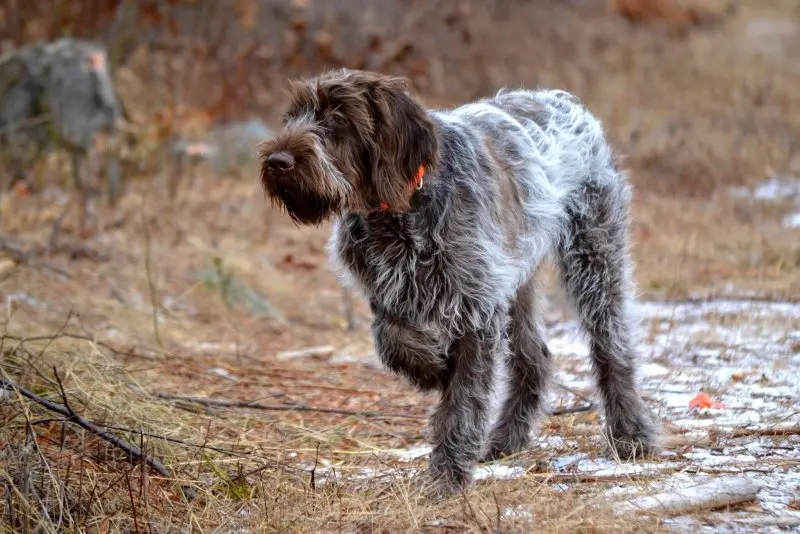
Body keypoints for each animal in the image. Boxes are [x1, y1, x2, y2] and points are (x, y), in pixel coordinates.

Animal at [260, 69, 660, 496]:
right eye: (292, 116)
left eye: (337, 117)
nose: (277, 161)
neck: (399, 209)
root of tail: (563, 99)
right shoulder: (390, 289)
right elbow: (392, 338)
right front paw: (433, 369)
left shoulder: (477, 306)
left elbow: (463, 400)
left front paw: (446, 476)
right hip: (517, 277)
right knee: (534, 357)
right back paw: (506, 439)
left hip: (593, 256)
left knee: (612, 348)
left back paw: (631, 435)